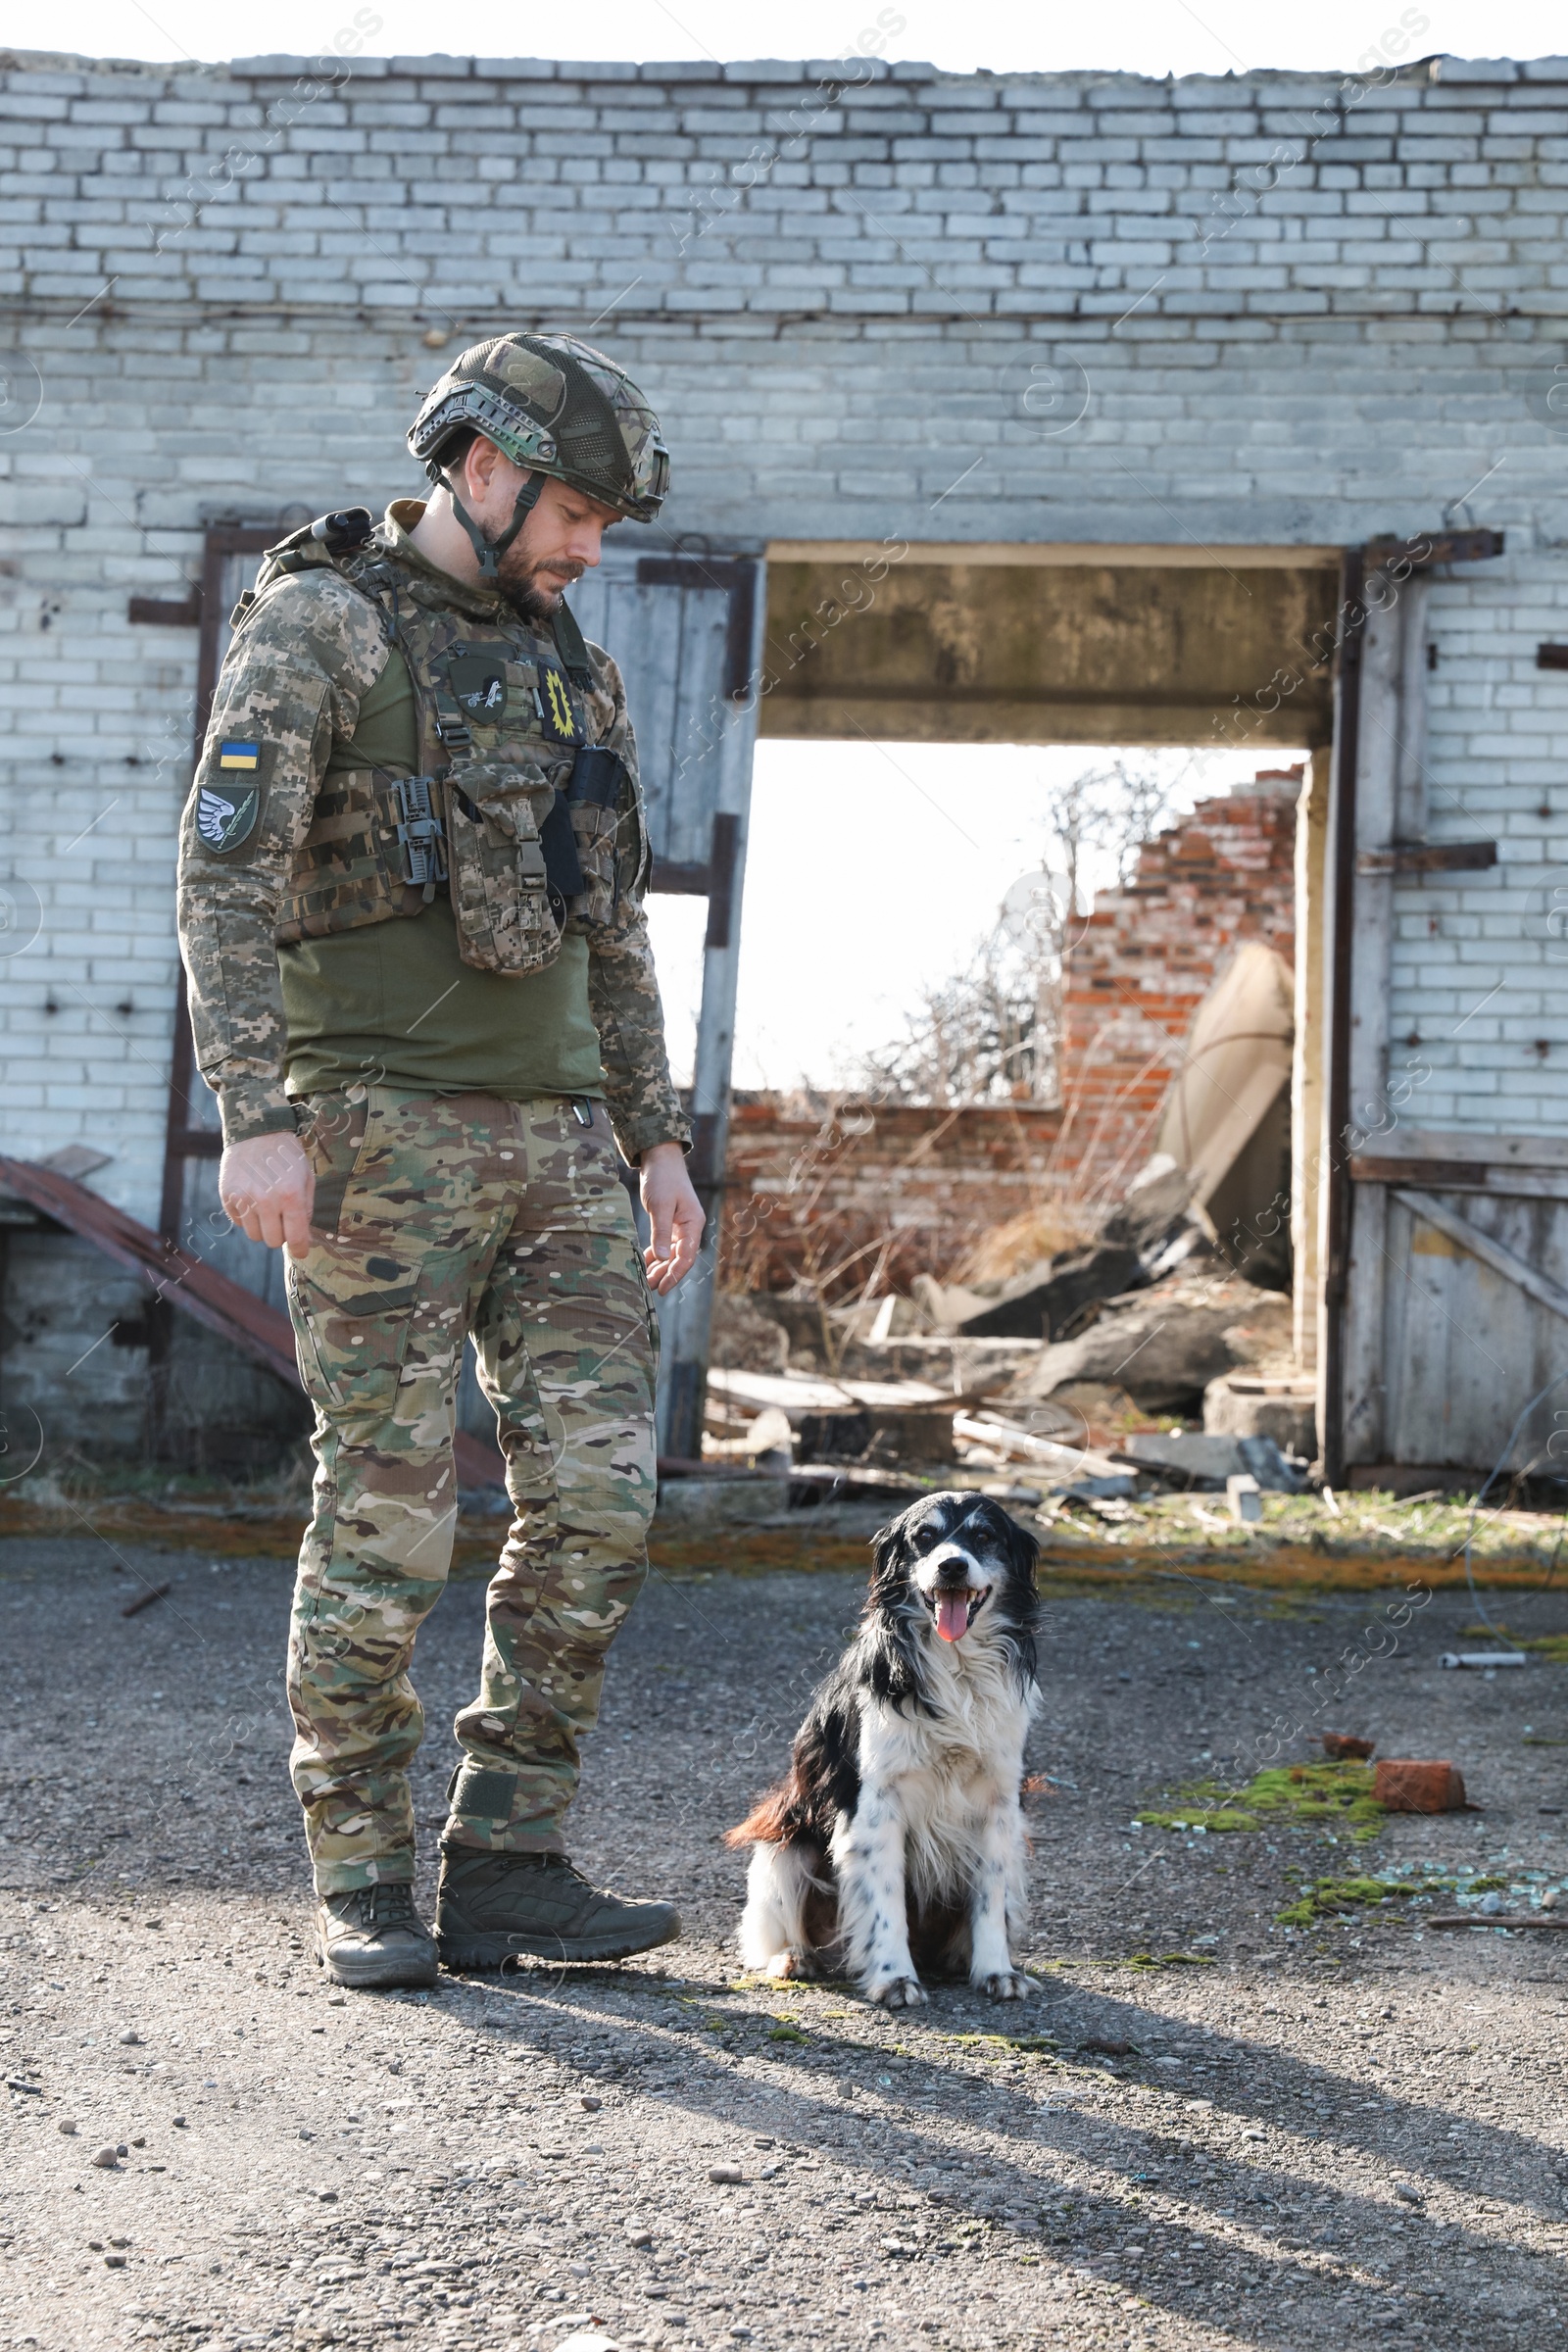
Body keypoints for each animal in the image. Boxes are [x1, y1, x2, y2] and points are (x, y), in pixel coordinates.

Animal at [728, 1495, 1044, 2013]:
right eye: (924, 1538)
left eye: (984, 1536)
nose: (952, 1566)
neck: (956, 1667)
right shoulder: (876, 1808)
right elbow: (885, 1903)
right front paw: (894, 1977)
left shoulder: (999, 1804)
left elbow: (989, 1898)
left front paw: (996, 1971)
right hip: (785, 1845)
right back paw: (794, 1958)